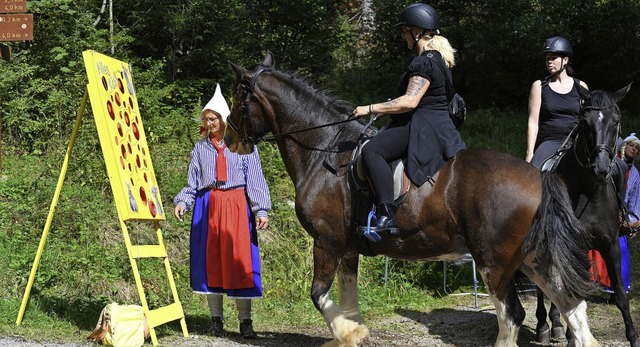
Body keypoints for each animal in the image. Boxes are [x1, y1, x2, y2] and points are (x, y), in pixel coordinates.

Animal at [222, 52, 596, 347]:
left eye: (238, 97)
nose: (228, 139)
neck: (322, 149)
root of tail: (539, 176)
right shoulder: (349, 247)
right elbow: (348, 294)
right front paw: (356, 333)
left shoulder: (326, 242)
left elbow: (318, 294)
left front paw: (346, 333)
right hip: (534, 257)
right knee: (572, 306)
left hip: (496, 262)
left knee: (512, 316)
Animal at [532, 84, 636, 347]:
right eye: (584, 122)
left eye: (616, 121)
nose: (601, 168)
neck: (590, 191)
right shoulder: (574, 246)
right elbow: (574, 294)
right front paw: (573, 338)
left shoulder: (611, 245)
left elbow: (620, 296)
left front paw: (633, 338)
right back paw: (543, 326)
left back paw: (557, 325)